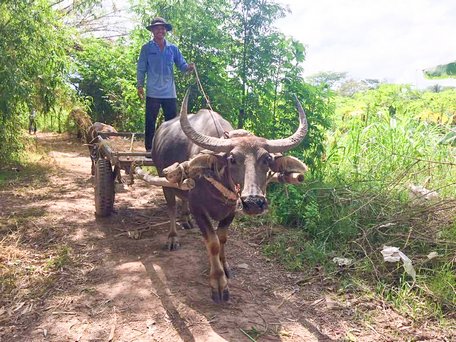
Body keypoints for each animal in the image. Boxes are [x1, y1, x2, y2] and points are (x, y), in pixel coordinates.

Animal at [151, 91, 308, 302]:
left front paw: (224, 267)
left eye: (267, 159)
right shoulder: (198, 209)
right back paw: (173, 238)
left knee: (182, 199)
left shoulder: (231, 210)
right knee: (171, 208)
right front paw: (219, 283)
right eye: (232, 159)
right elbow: (213, 242)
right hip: (164, 181)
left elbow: (223, 238)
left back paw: (186, 220)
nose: (253, 203)